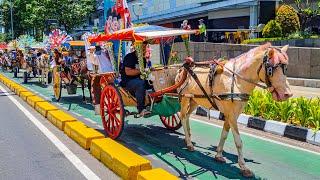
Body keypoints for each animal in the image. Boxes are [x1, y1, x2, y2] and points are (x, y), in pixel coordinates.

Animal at [178, 43, 292, 177]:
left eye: (285, 68)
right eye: (271, 69)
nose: (288, 94)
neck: (237, 80)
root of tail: (183, 69)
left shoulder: (232, 114)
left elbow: (224, 135)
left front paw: (218, 155)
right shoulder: (232, 115)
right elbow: (239, 142)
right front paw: (243, 166)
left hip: (195, 101)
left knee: (187, 116)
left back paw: (188, 137)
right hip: (185, 98)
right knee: (182, 116)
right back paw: (189, 143)